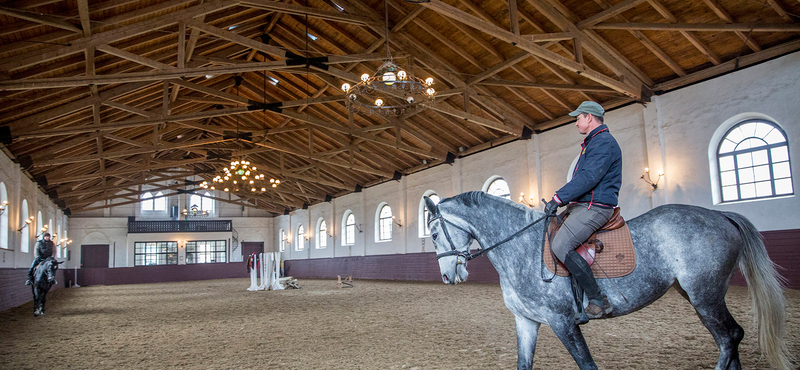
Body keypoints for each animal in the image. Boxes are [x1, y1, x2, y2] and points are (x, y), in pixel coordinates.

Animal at [424, 192, 792, 370]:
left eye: (433, 233)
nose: (447, 276)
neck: (521, 245)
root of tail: (720, 215)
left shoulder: (562, 321)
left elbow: (587, 364)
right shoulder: (526, 321)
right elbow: (523, 364)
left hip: (706, 294)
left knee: (730, 338)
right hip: (699, 295)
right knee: (729, 339)